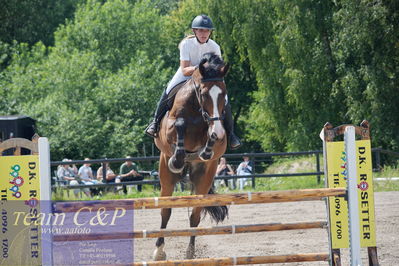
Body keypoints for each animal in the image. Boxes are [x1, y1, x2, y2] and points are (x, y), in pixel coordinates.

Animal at [153, 52, 230, 260]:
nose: (219, 131)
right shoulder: (170, 126)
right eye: (203, 94)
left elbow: (209, 137)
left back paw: (190, 252)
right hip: (166, 176)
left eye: (223, 94)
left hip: (204, 178)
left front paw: (207, 149)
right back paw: (159, 251)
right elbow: (179, 124)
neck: (197, 110)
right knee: (165, 211)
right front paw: (177, 158)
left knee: (195, 215)